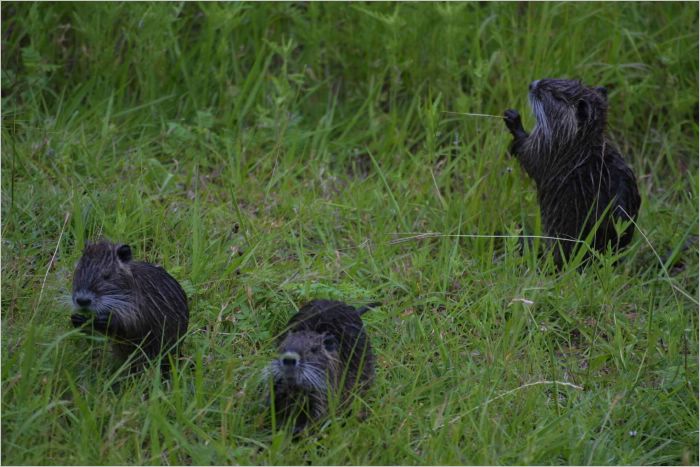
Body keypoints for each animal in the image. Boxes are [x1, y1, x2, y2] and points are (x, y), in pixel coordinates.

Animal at [71, 240, 189, 373]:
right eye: (78, 271)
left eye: (107, 275)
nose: (82, 300)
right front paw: (77, 319)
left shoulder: (144, 304)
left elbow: (135, 325)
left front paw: (107, 320)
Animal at [504, 78, 641, 268]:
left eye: (554, 94)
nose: (532, 85)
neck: (581, 146)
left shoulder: (550, 151)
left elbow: (530, 157)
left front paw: (513, 119)